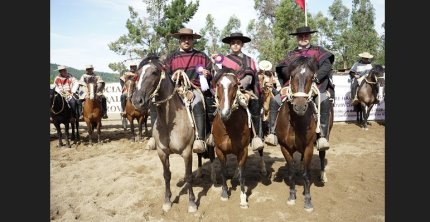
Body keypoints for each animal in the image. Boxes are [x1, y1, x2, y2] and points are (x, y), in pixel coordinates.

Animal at [130, 57, 201, 213]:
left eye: (154, 72)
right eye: (137, 74)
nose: (137, 100)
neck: (169, 125)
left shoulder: (187, 152)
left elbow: (188, 176)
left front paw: (192, 203)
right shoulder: (162, 152)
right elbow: (167, 175)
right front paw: (167, 201)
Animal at [276, 55, 322, 212]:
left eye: (312, 77)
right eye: (292, 76)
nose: (300, 107)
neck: (296, 123)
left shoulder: (308, 147)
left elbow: (306, 174)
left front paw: (307, 200)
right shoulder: (284, 147)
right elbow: (291, 171)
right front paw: (292, 196)